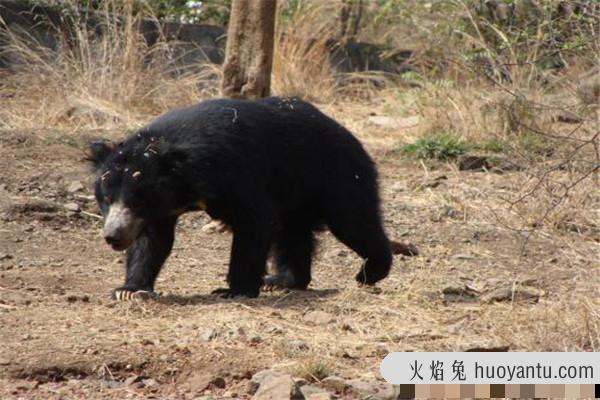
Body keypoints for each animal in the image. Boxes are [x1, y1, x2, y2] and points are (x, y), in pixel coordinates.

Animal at [86, 95, 392, 298]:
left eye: (136, 200)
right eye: (106, 199)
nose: (113, 236)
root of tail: (349, 135)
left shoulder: (235, 170)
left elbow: (254, 220)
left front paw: (234, 290)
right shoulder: (161, 207)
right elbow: (152, 240)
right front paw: (129, 290)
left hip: (338, 173)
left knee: (352, 221)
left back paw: (370, 272)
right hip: (296, 192)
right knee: (293, 233)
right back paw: (282, 281)